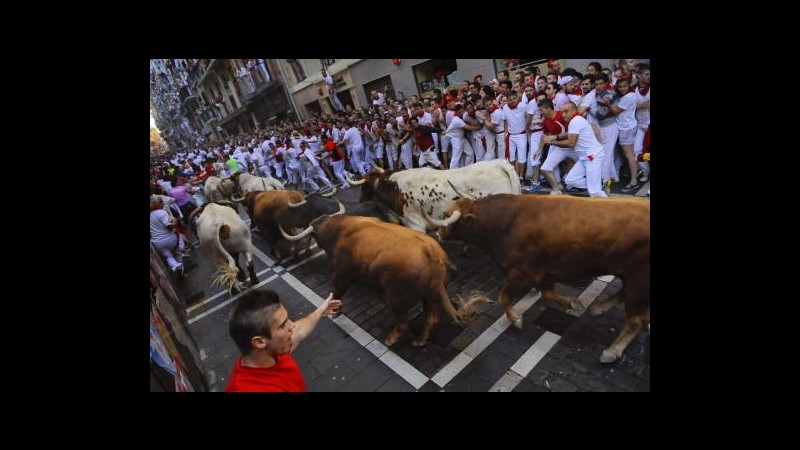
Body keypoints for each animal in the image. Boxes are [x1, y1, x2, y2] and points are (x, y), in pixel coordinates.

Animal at [282, 216, 488, 346]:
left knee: (402, 321)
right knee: (432, 317)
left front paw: (336, 312)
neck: (338, 229)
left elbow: (337, 292)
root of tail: (430, 250)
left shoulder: (341, 276)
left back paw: (391, 339)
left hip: (396, 297)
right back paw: (420, 340)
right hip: (429, 295)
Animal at [432, 193, 648, 362]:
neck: (506, 222)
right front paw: (573, 303)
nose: (438, 233)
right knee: (625, 298)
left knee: (635, 319)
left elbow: (504, 297)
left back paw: (611, 351)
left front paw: (516, 320)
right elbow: (548, 294)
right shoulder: (546, 272)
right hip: (629, 277)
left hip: (638, 279)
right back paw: (599, 308)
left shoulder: (523, 273)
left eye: (447, 217)